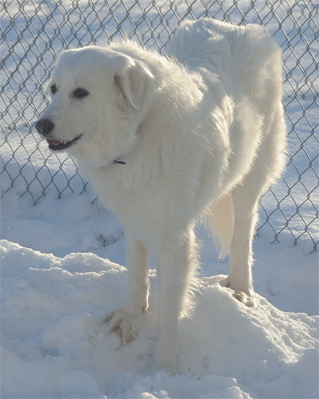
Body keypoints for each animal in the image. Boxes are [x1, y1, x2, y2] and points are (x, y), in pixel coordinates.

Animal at [35, 19, 288, 372]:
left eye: (81, 92)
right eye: (53, 90)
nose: (40, 126)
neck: (136, 138)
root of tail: (235, 25)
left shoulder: (175, 242)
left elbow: (169, 315)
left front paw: (162, 369)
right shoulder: (133, 217)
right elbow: (137, 273)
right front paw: (130, 317)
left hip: (250, 177)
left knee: (242, 235)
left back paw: (241, 290)